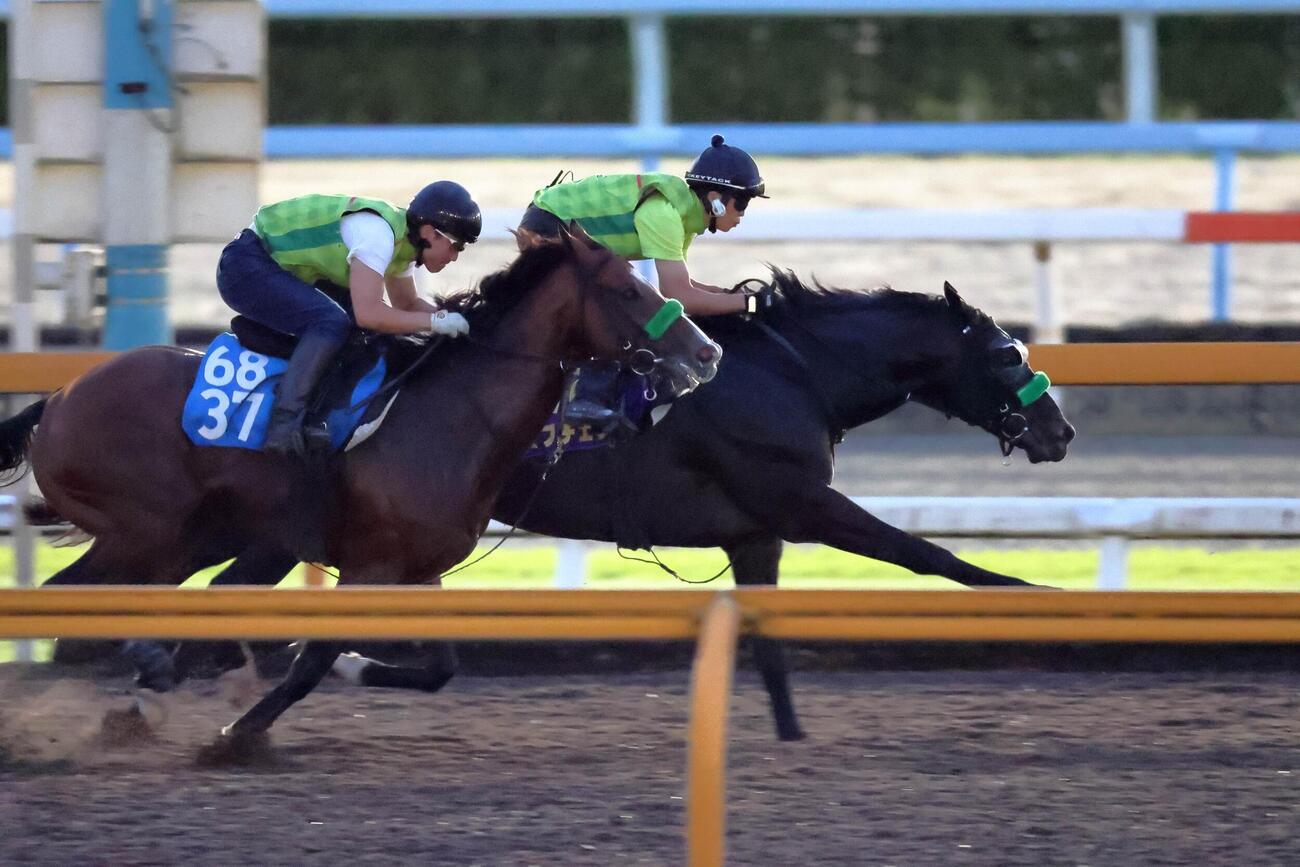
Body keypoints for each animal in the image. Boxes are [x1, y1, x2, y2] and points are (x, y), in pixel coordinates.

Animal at [0, 231, 721, 748]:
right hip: (148, 531)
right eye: (627, 288)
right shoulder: (370, 566)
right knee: (75, 609)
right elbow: (312, 658)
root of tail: (57, 398)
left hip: (189, 538)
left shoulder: (418, 569)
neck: (451, 413)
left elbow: (440, 666)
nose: (706, 352)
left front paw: (342, 668)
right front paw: (239, 732)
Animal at [114, 274, 1073, 743]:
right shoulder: (801, 503)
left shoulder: (755, 532)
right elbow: (928, 554)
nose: (1059, 429)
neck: (791, 371)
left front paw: (792, 735)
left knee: (227, 591)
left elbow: (767, 644)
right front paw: (1042, 598)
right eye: (1005, 350)